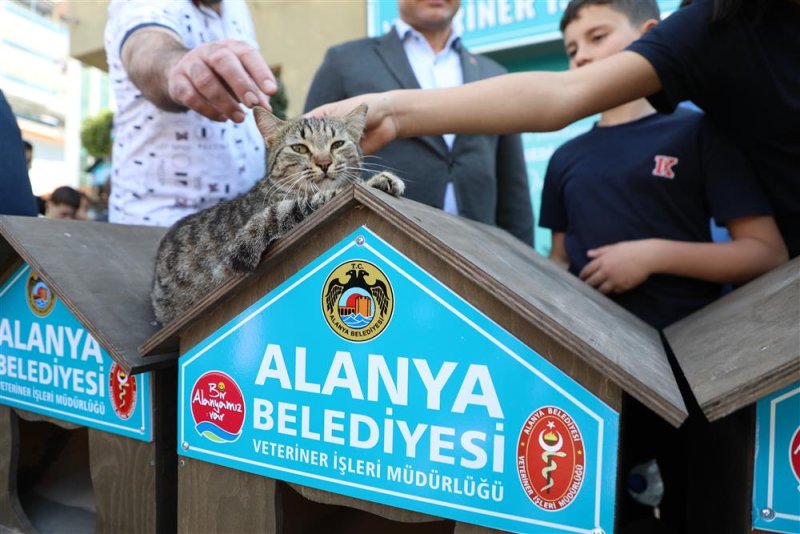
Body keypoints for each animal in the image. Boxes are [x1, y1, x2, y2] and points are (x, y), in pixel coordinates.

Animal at [149, 103, 404, 322]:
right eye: (299, 148)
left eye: (337, 144)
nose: (324, 163)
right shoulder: (249, 238)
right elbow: (303, 204)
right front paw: (357, 186)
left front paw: (382, 180)